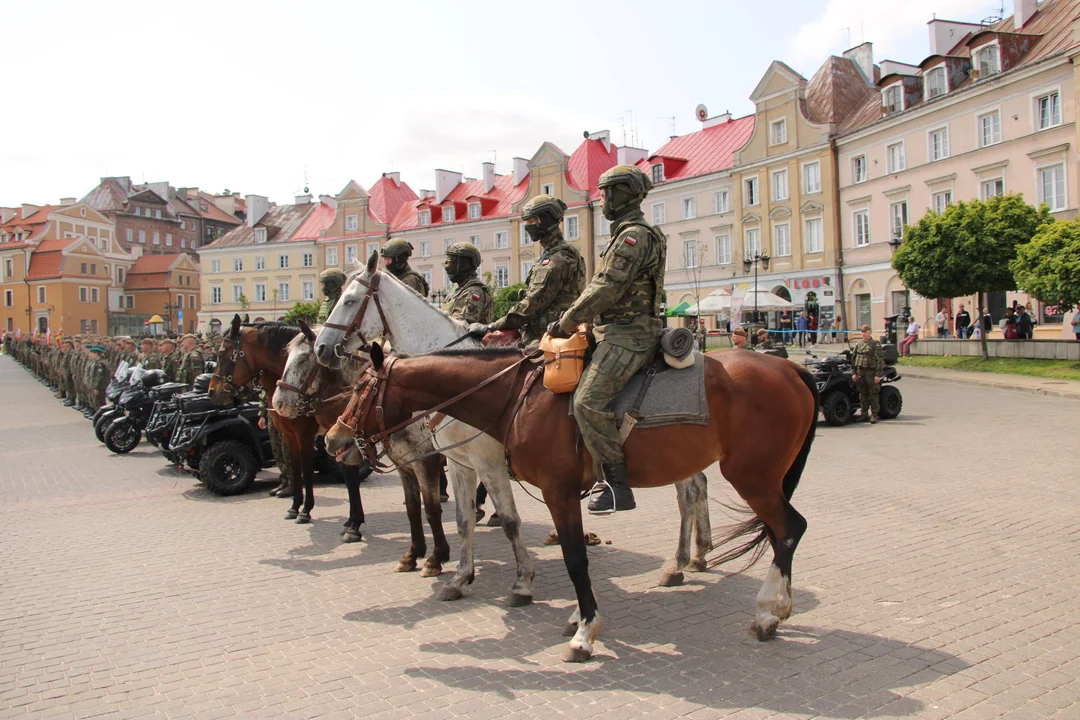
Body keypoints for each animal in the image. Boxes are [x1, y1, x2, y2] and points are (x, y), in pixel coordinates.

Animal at [313, 253, 717, 591]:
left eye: (349, 300)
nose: (321, 348)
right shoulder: (456, 463)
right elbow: (459, 518)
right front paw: (457, 572)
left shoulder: (482, 462)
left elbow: (504, 519)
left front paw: (509, 575)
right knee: (694, 487)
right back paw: (696, 554)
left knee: (690, 490)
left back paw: (682, 560)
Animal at [328, 343, 816, 664]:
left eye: (362, 390)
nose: (334, 440)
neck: (519, 397)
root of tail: (790, 368)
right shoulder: (473, 469)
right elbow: (474, 524)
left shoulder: (550, 488)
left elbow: (572, 556)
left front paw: (583, 630)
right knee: (759, 523)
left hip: (753, 476)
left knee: (788, 529)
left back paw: (767, 610)